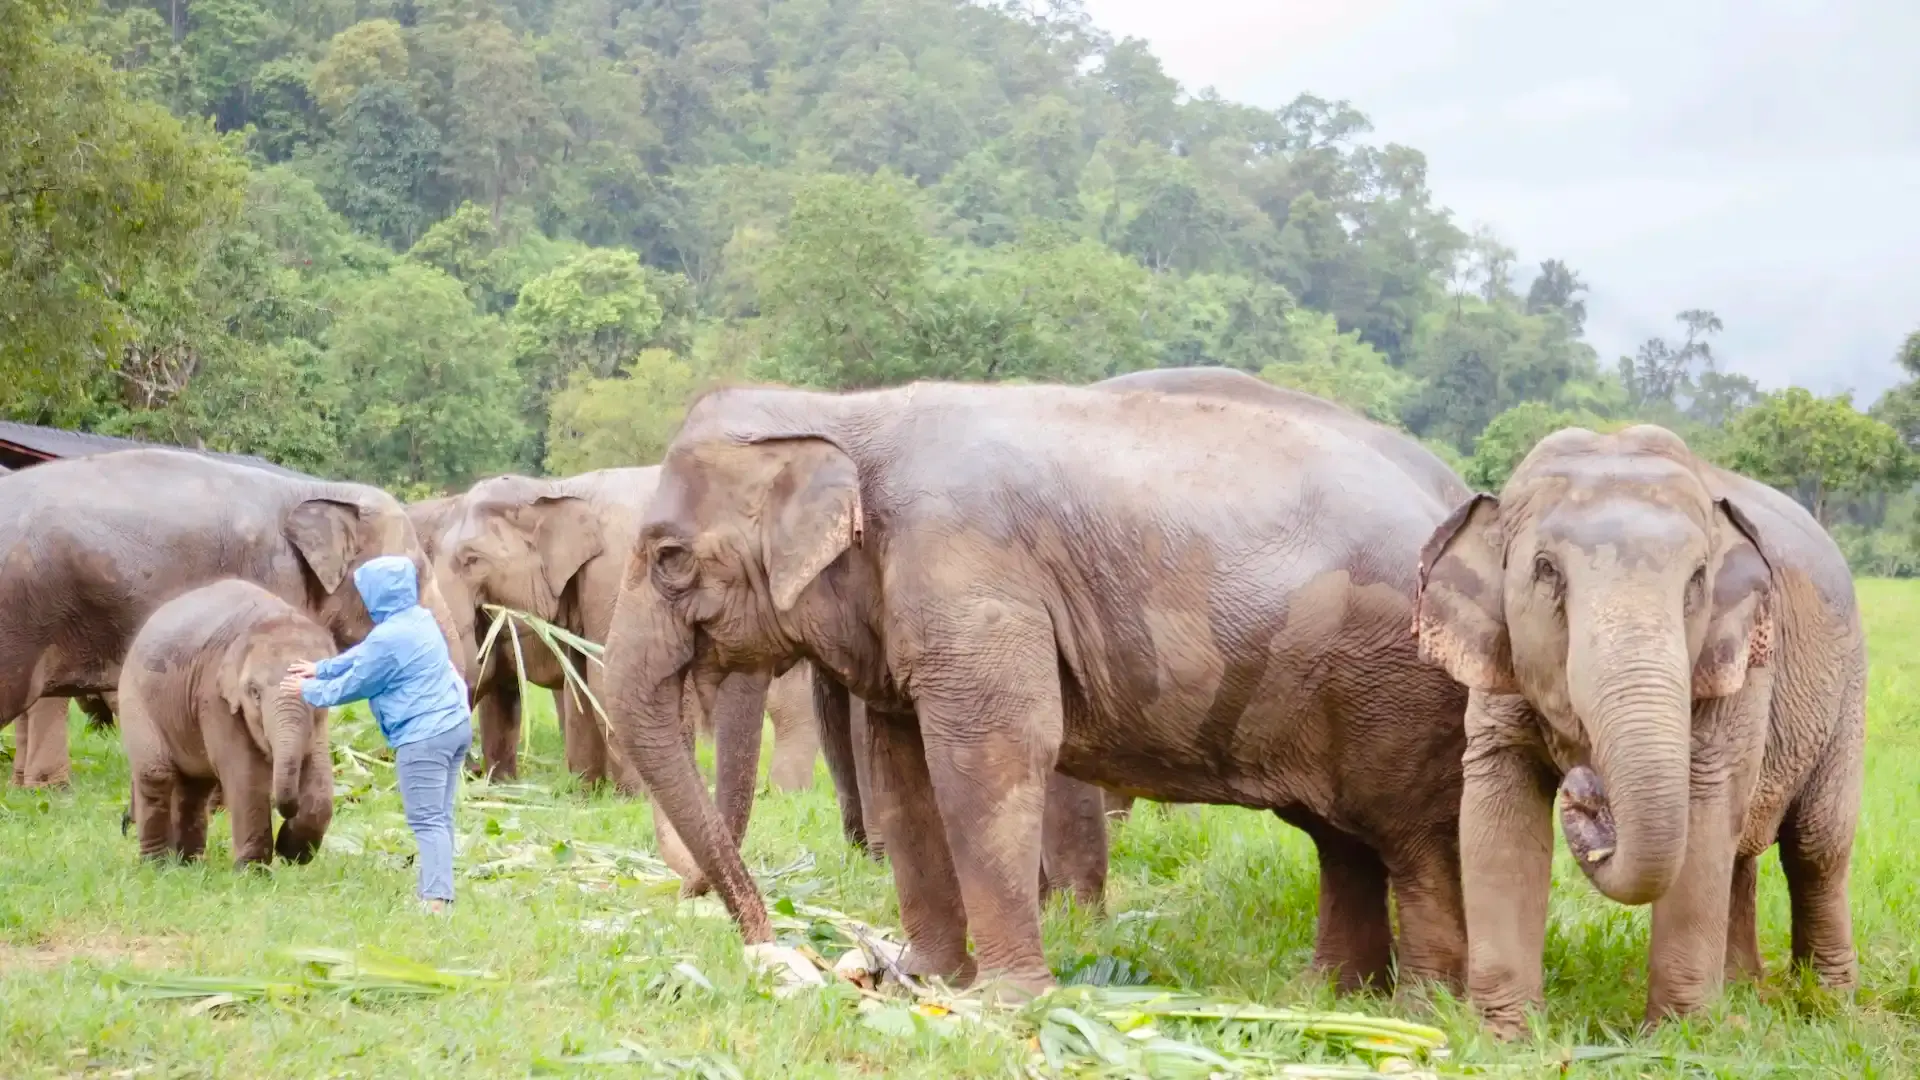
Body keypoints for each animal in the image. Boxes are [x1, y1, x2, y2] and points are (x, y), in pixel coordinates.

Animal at [119, 580, 337, 866]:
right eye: (254, 692)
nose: (287, 816)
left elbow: (319, 772)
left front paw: (293, 851)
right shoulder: (214, 697)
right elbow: (245, 774)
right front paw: (253, 870)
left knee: (195, 786)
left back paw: (189, 864)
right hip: (134, 700)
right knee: (156, 775)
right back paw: (157, 866)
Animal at [600, 367, 1473, 996]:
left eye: (670, 558)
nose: (769, 946)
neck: (845, 415)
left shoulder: (969, 568)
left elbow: (990, 750)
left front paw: (1007, 1002)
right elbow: (901, 764)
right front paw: (923, 980)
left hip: (1397, 686)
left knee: (1411, 840)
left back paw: (1420, 1011)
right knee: (1341, 839)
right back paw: (1330, 998)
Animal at [1413, 424, 1862, 1033]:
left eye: (1698, 578)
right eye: (1546, 570)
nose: (1585, 791)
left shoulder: (1738, 668)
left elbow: (1704, 805)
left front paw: (1681, 1036)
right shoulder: (1498, 665)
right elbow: (1496, 811)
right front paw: (1505, 1034)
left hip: (1847, 694)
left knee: (1817, 847)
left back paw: (1828, 1005)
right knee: (1741, 854)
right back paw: (1743, 990)